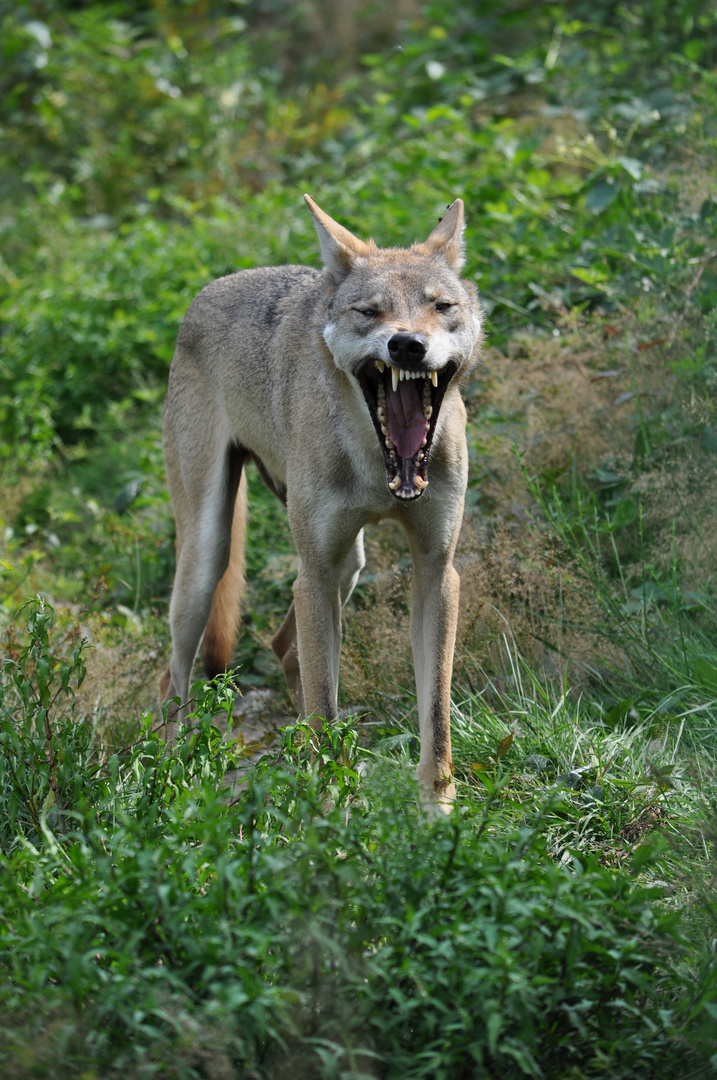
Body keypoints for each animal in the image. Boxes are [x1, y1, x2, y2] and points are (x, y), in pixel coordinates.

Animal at [159, 194, 483, 807]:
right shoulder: (311, 575)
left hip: (347, 567)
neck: (383, 472)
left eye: (441, 306)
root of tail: (207, 291)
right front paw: (332, 816)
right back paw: (177, 779)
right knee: (175, 678)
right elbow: (327, 720)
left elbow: (435, 712)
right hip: (209, 562)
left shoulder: (437, 571)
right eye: (369, 312)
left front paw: (439, 810)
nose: (407, 345)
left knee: (285, 651)